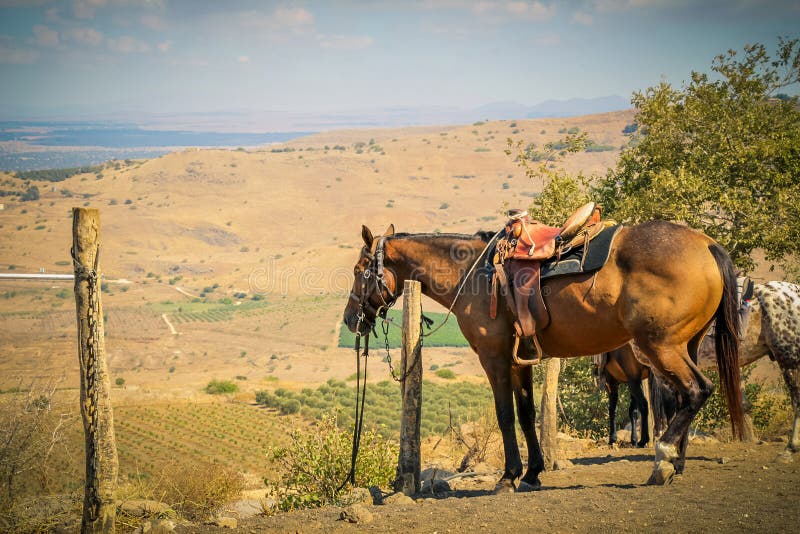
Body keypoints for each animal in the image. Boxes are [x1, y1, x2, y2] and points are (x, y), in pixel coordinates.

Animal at [344, 221, 744, 490]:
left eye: (359, 270)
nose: (350, 319)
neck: (471, 273)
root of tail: (707, 245)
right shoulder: (518, 359)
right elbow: (526, 413)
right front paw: (533, 472)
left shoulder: (494, 358)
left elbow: (505, 415)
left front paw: (508, 476)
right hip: (683, 346)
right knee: (684, 398)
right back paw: (677, 464)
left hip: (661, 347)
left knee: (697, 391)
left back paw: (663, 461)